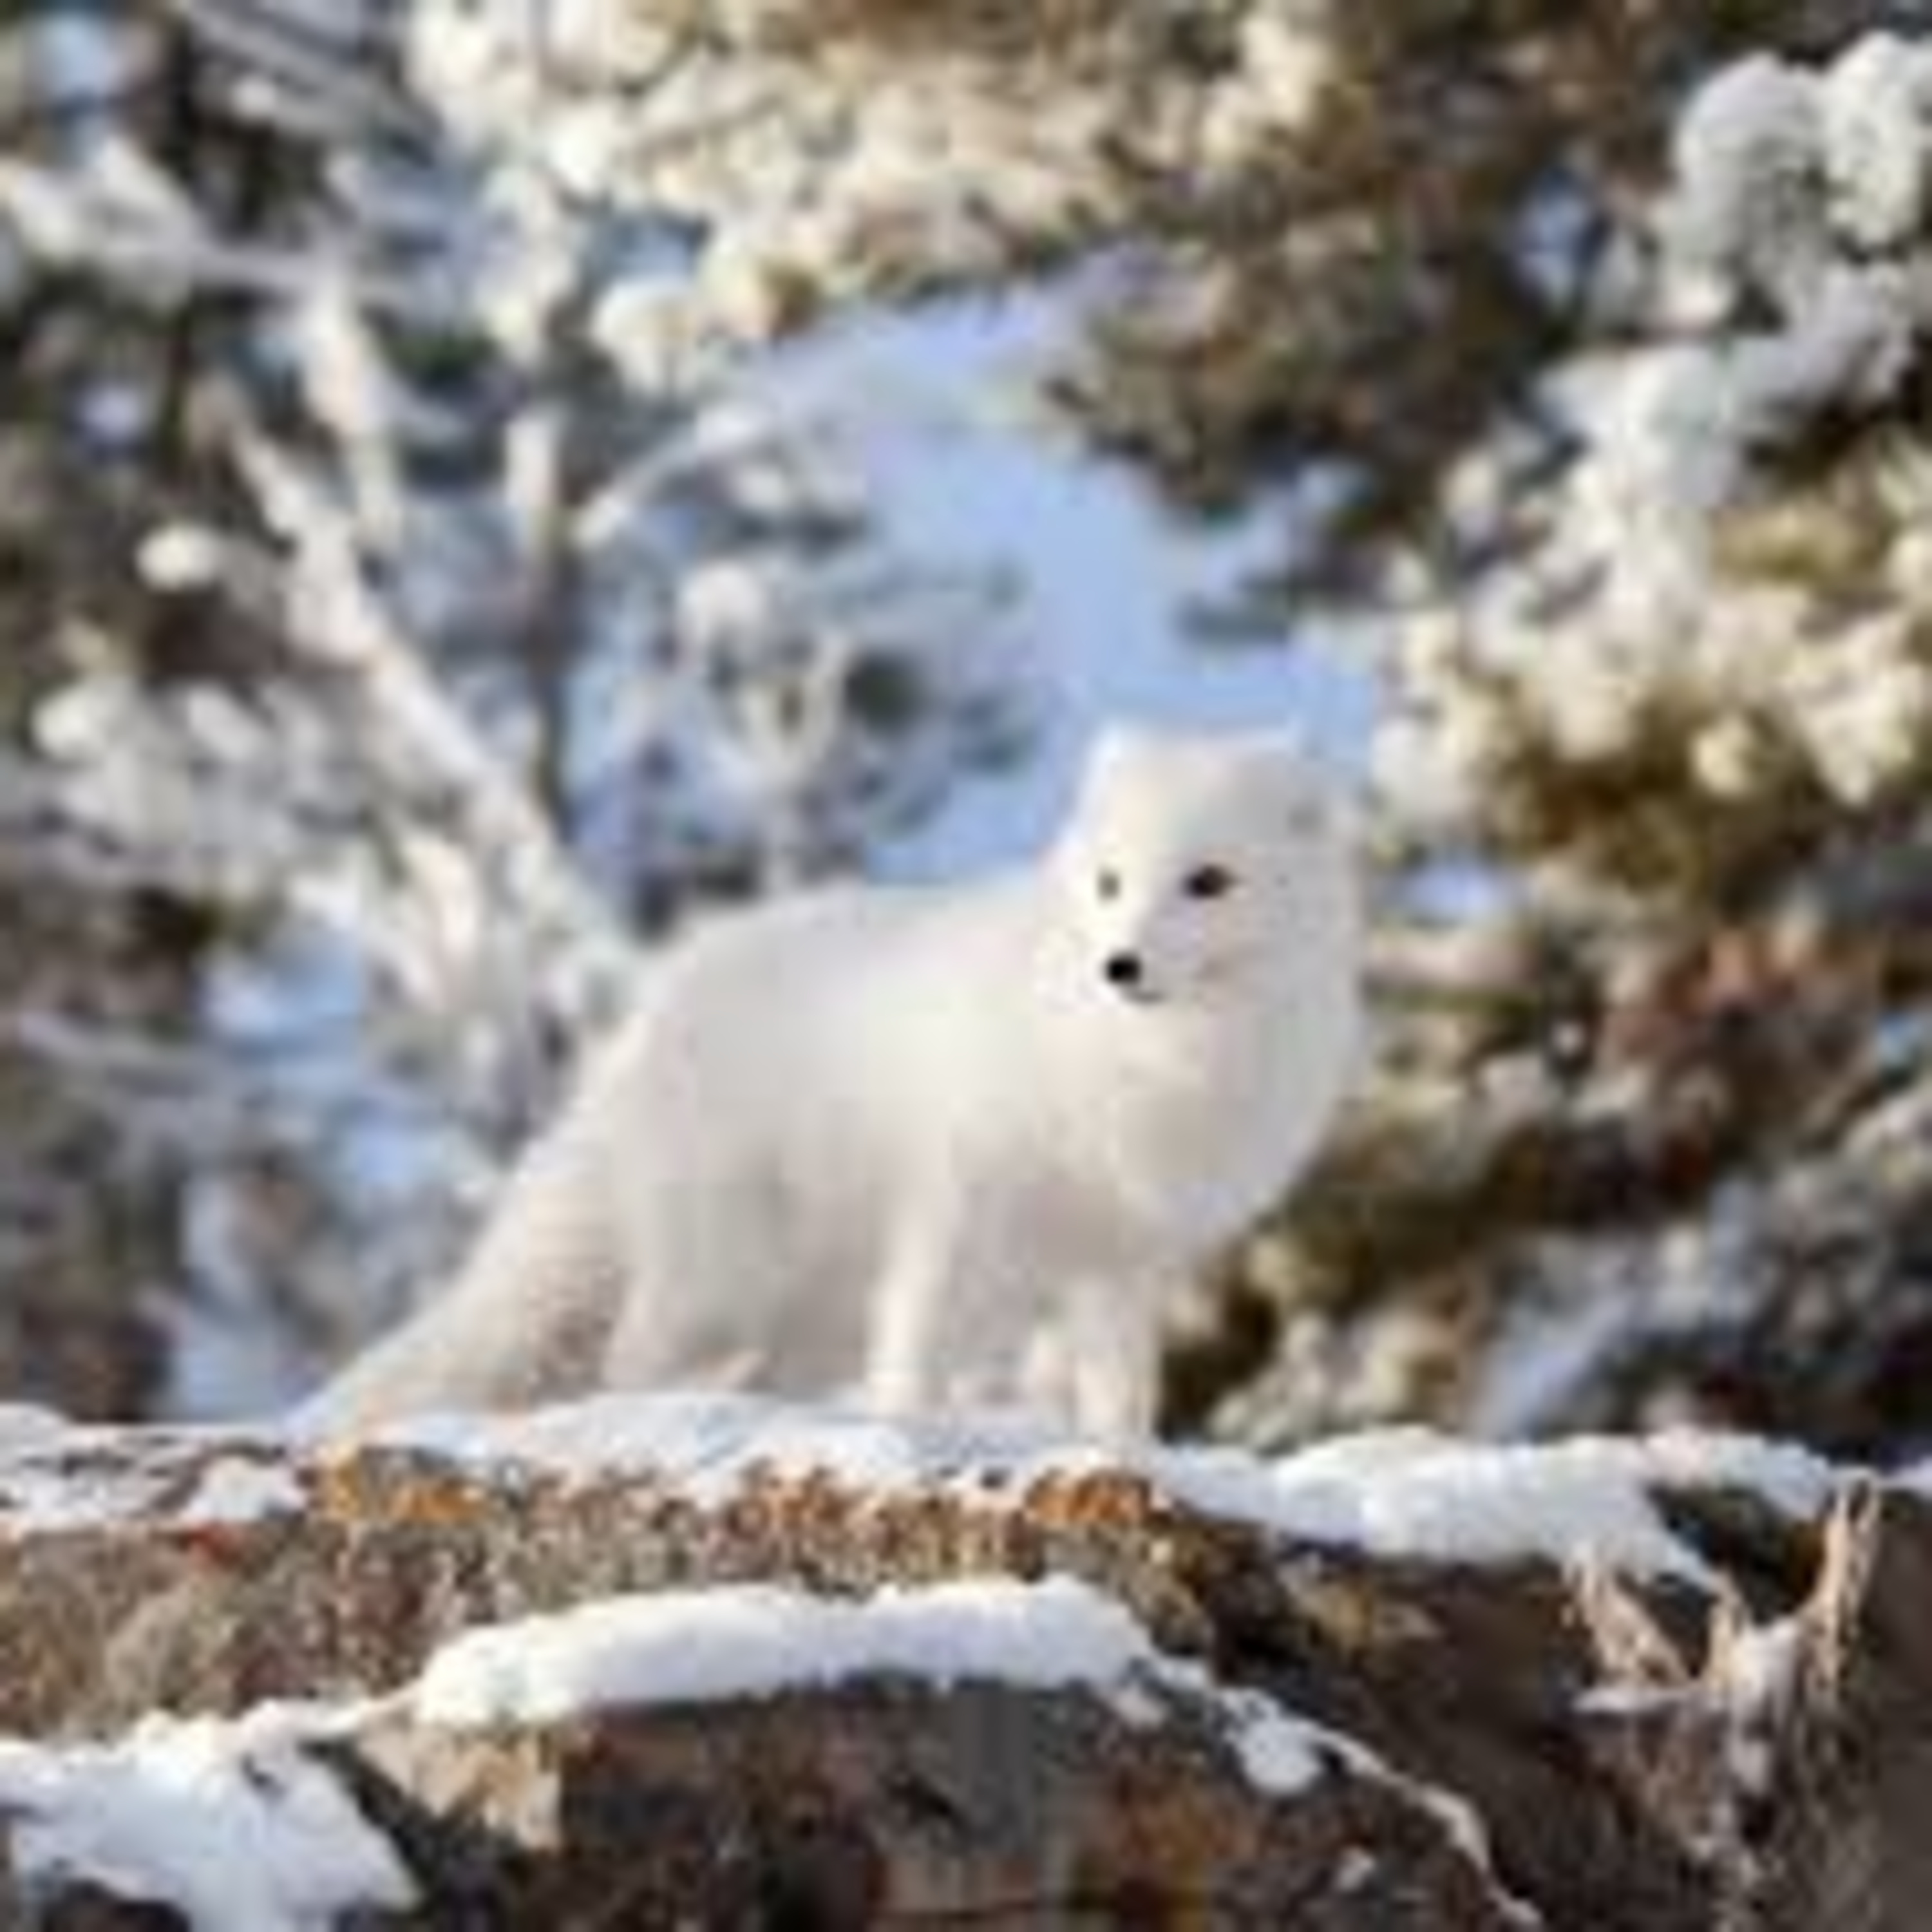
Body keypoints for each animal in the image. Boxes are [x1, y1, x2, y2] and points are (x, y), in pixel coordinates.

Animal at [313, 722, 1364, 1439]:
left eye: (1209, 881)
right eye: (1110, 883)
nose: (1120, 966)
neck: (1150, 1066)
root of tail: (654, 1011)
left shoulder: (1121, 1258)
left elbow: (1121, 1396)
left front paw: (1124, 1458)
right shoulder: (953, 1205)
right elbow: (912, 1350)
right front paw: (910, 1437)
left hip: (816, 1313)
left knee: (761, 1376)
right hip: (724, 1272)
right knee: (631, 1359)